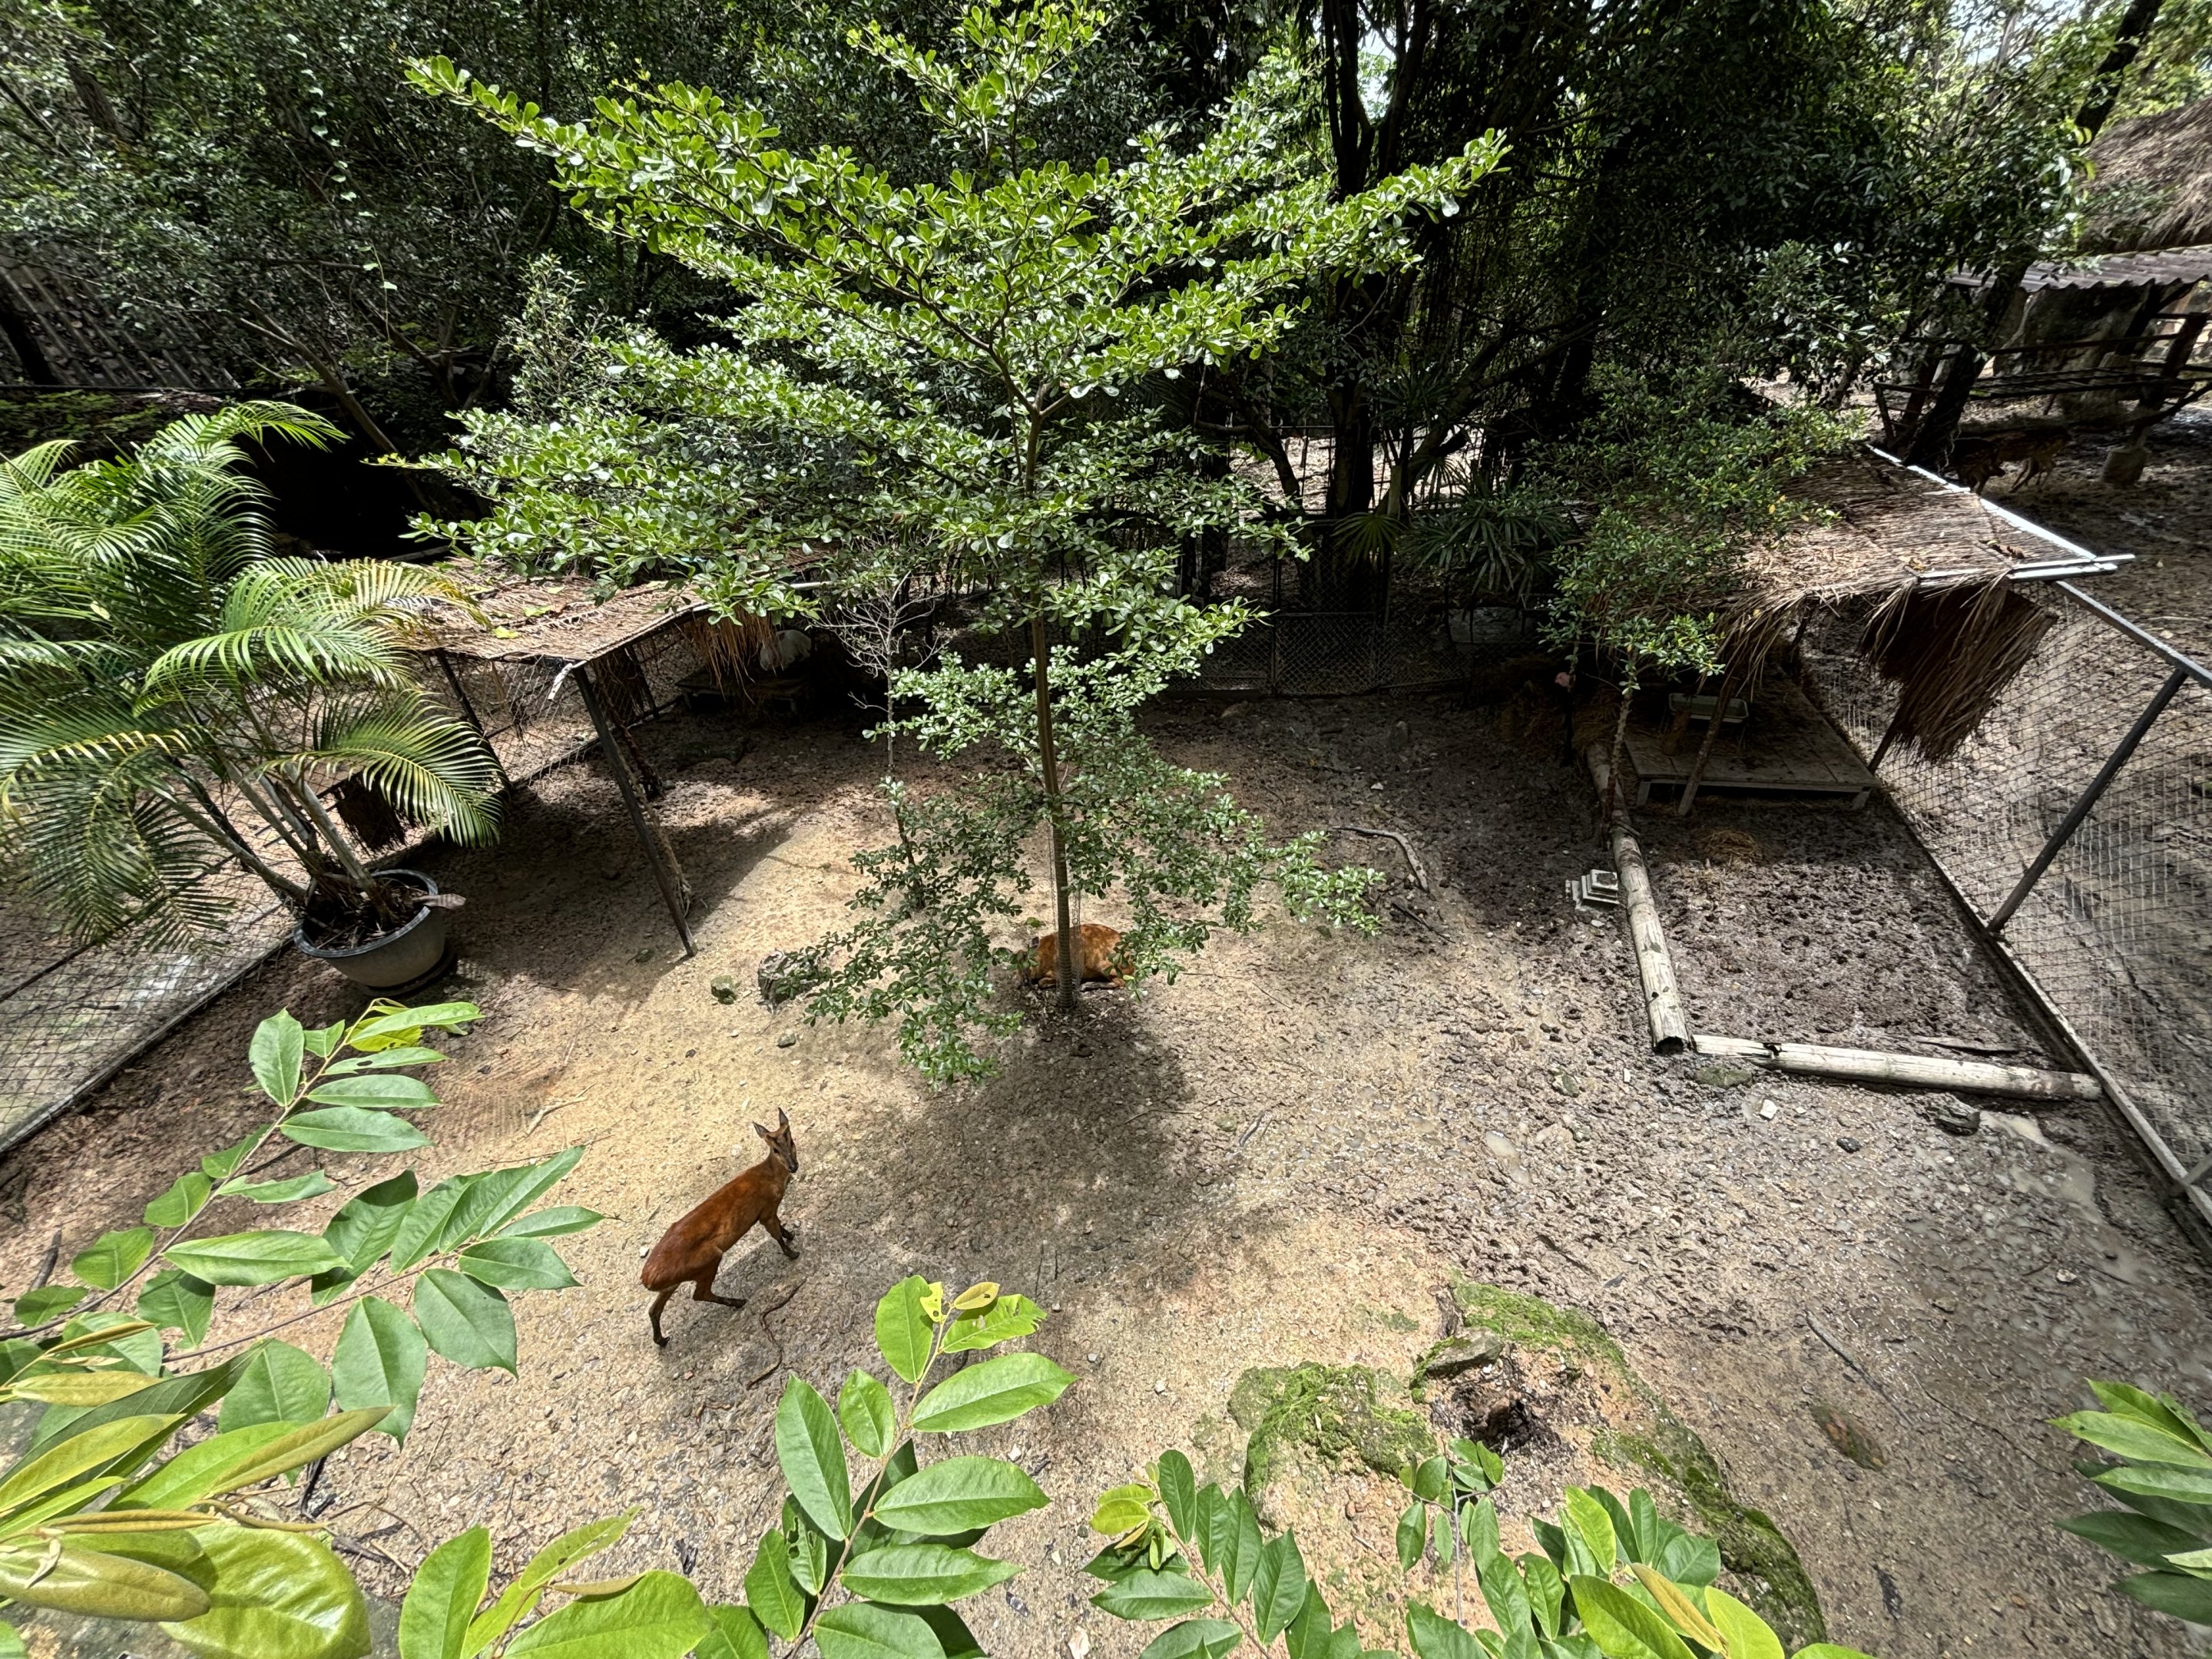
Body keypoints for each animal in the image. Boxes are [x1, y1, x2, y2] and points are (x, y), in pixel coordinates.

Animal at [641, 1109, 799, 1348]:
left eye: (791, 1141)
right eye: (775, 1149)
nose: (793, 1167)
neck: (772, 1177)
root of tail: (646, 1279)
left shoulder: (769, 1210)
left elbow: (780, 1226)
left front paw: (791, 1234)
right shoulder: (765, 1211)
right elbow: (776, 1234)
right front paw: (792, 1253)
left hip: (673, 1281)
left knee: (653, 1309)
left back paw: (661, 1339)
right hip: (708, 1258)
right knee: (699, 1294)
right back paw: (737, 1301)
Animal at [1022, 922, 1133, 989]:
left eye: (1024, 957)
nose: (1024, 981)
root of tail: (1132, 966)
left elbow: (1042, 982)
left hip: (1098, 961)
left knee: (1121, 983)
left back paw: (1087, 985)